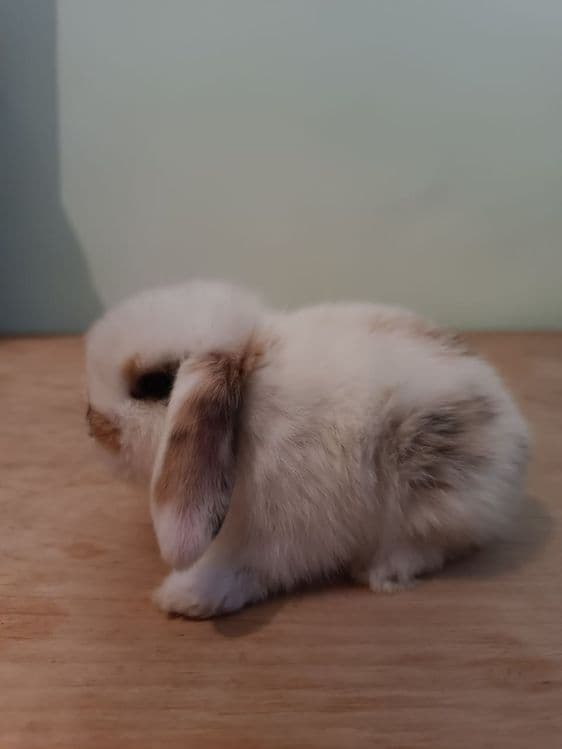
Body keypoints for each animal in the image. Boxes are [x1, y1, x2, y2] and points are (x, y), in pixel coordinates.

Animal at [85, 279, 529, 618]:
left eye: (156, 384)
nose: (93, 423)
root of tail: (517, 436)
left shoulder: (277, 531)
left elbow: (245, 567)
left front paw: (183, 597)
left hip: (431, 484)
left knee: (441, 542)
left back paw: (383, 570)